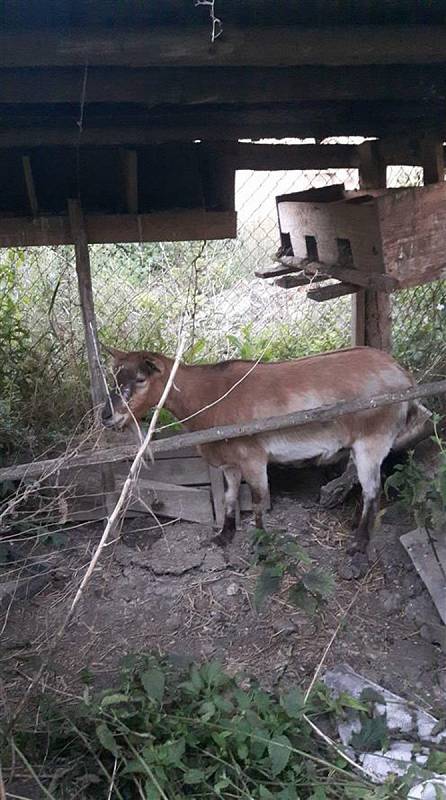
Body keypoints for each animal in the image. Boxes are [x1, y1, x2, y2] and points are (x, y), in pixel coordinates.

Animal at [101, 344, 428, 556]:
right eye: (115, 378)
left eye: (140, 379)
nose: (107, 416)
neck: (209, 396)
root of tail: (403, 375)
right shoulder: (230, 462)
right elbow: (231, 497)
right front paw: (224, 537)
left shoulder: (253, 457)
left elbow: (259, 501)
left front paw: (262, 545)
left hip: (372, 439)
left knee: (373, 489)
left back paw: (358, 544)